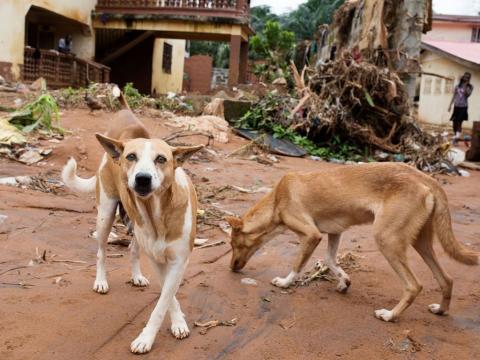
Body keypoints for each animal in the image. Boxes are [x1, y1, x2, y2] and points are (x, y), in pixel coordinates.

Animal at [226, 162, 480, 320]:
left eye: (233, 245)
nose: (231, 268)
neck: (277, 200)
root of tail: (426, 177)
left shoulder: (311, 235)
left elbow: (297, 265)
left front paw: (285, 282)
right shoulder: (334, 233)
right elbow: (330, 260)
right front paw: (343, 281)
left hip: (387, 239)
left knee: (413, 285)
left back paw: (390, 315)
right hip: (420, 242)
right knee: (446, 279)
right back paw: (441, 310)